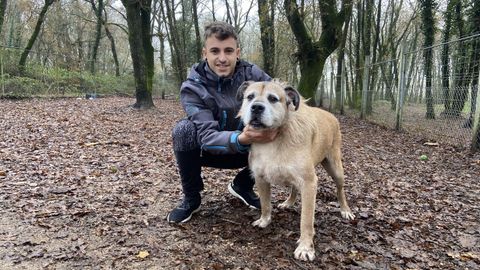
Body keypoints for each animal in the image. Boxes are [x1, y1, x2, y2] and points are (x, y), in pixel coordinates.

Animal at [237, 80, 356, 262]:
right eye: (250, 97)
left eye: (273, 98)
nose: (256, 107)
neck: (274, 139)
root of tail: (331, 115)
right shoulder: (260, 178)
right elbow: (265, 204)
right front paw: (264, 220)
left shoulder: (309, 183)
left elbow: (306, 220)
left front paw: (305, 247)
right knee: (294, 187)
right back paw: (289, 202)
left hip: (335, 168)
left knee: (340, 189)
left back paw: (345, 210)